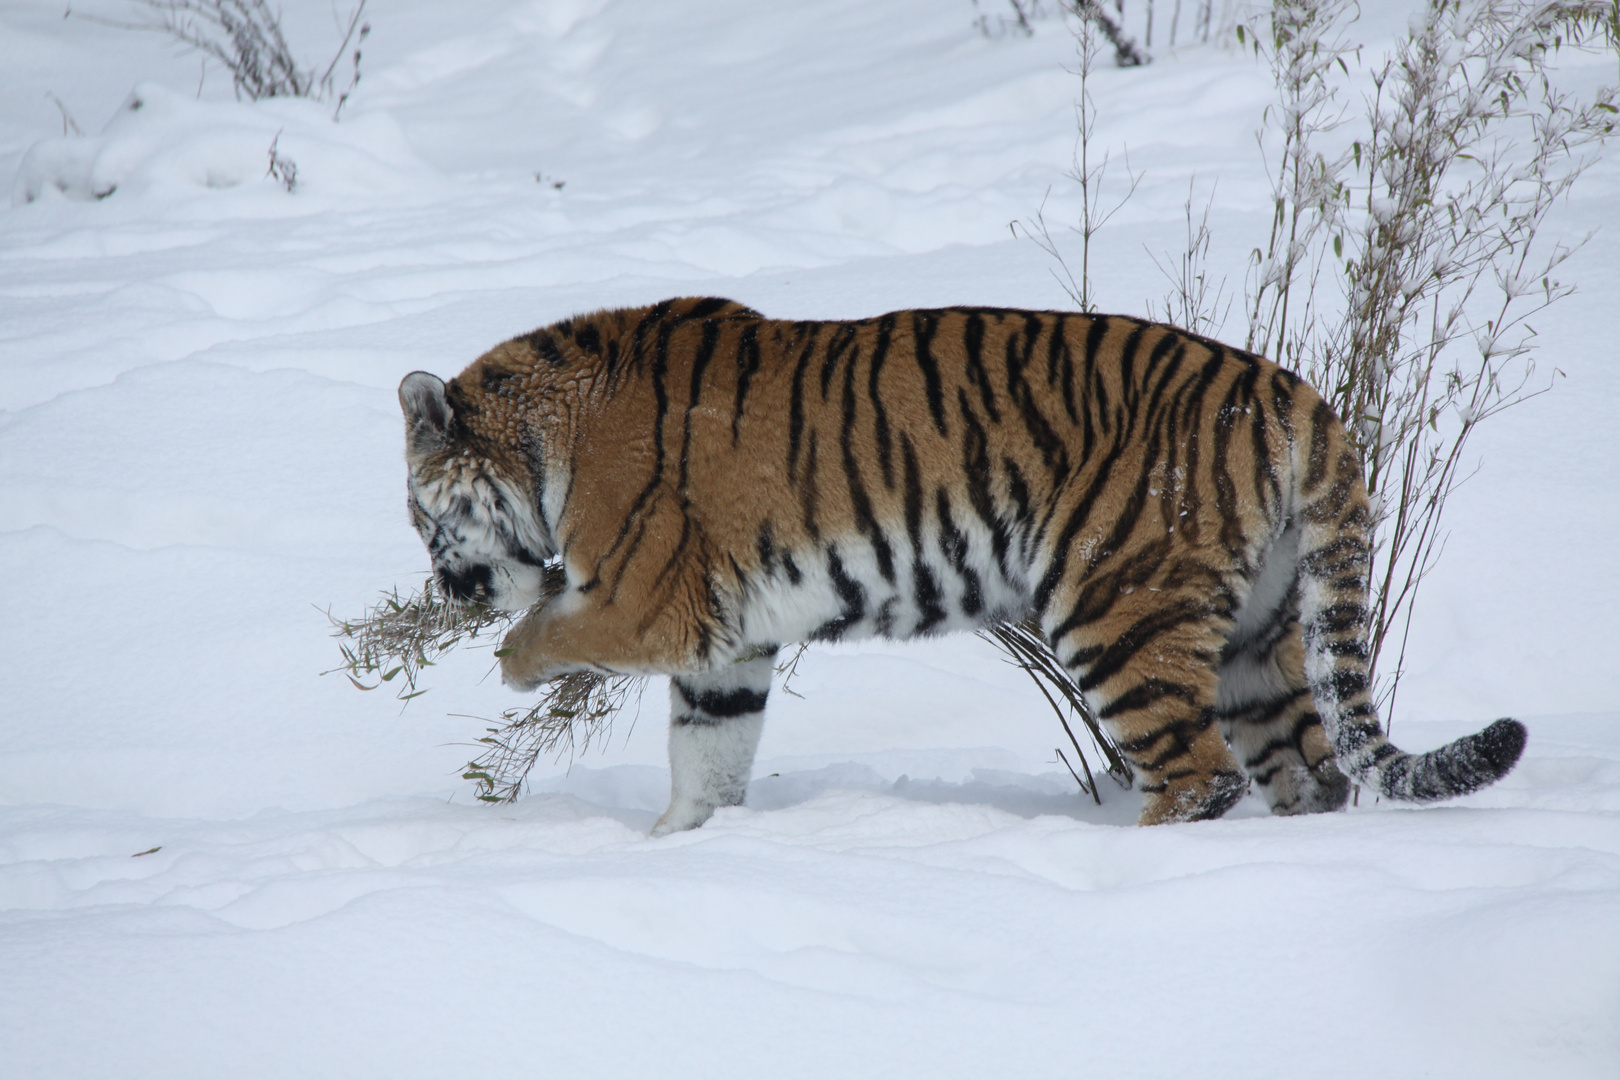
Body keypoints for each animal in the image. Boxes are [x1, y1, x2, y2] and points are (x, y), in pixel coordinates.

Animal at [398, 296, 1522, 835]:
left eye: (416, 512)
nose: (445, 591)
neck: (549, 441)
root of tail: (1295, 391)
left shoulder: (645, 597)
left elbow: (551, 627)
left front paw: (506, 659)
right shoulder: (727, 647)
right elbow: (707, 760)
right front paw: (678, 848)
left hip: (1115, 605)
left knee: (1198, 776)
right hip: (1260, 629)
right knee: (1309, 770)